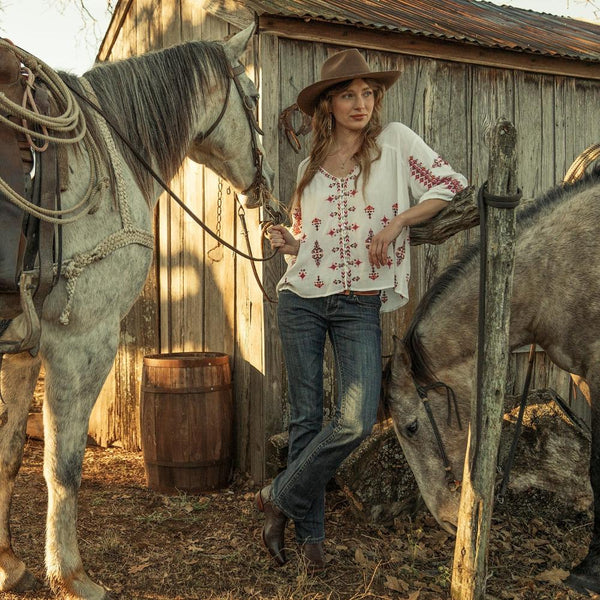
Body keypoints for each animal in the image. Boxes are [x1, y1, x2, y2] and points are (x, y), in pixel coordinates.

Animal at [0, 25, 274, 600]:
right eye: (252, 95)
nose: (264, 183)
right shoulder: (81, 344)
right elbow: (63, 468)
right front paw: (72, 575)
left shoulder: (23, 353)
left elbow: (10, 454)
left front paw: (10, 563)